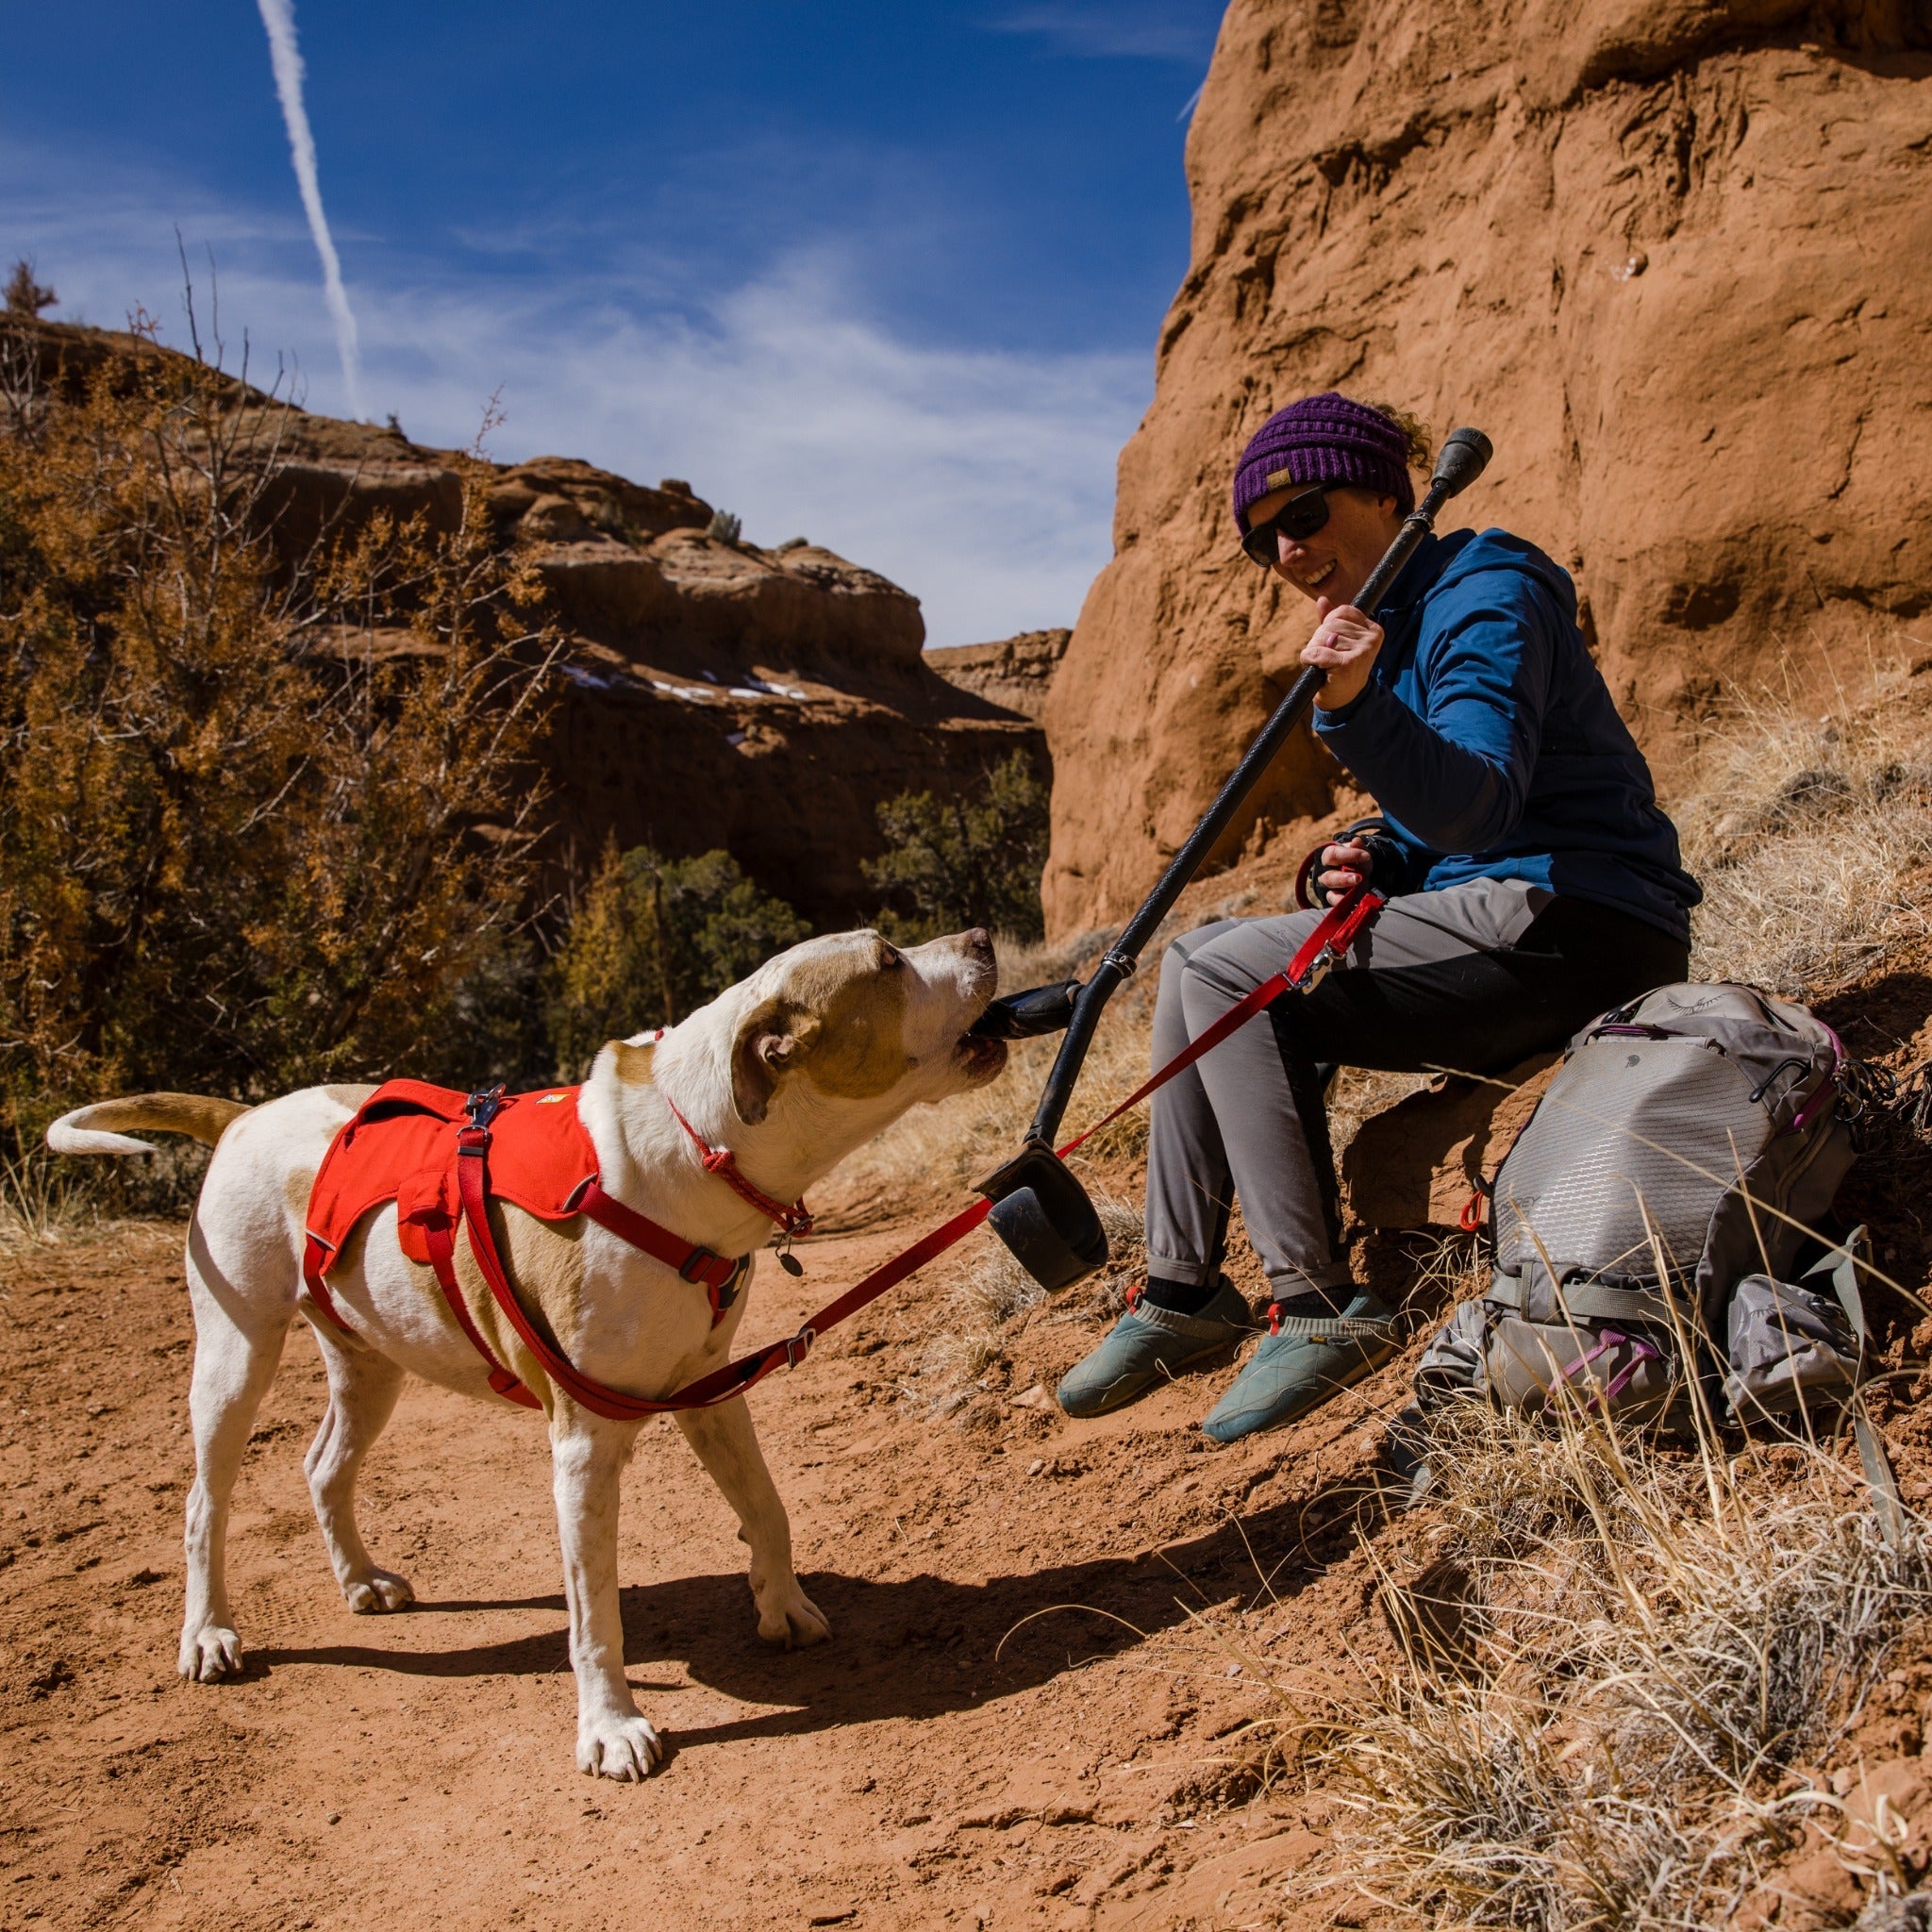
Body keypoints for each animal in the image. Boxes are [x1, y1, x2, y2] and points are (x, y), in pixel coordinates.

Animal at [51, 927, 1004, 1769]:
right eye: (887, 960)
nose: (984, 937)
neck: (687, 1145)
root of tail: (245, 1117)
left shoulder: (709, 1389)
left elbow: (767, 1509)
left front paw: (784, 1609)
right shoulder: (583, 1445)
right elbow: (595, 1616)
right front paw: (612, 1730)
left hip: (370, 1363)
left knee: (322, 1465)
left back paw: (360, 1579)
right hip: (235, 1357)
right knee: (203, 1504)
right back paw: (208, 1633)